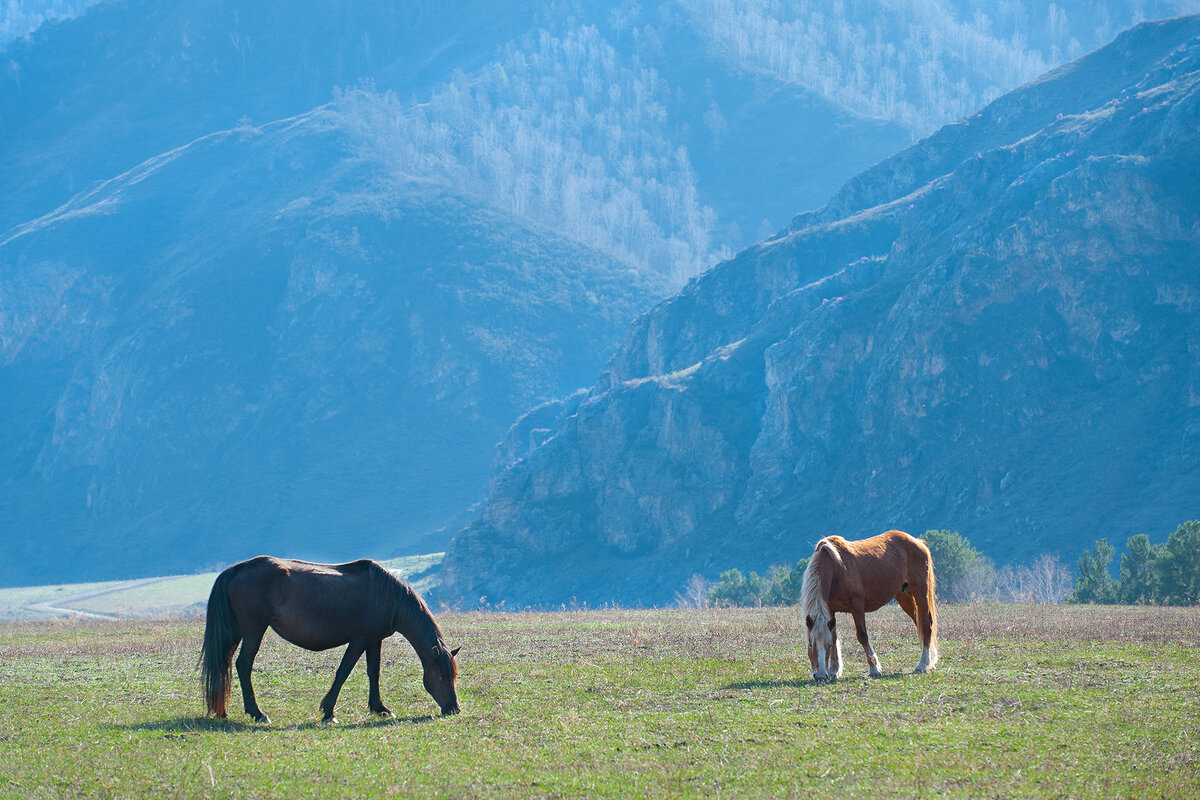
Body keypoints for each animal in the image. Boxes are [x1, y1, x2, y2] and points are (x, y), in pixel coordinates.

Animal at [199, 556, 460, 724]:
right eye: (440, 676)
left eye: (453, 676)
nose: (453, 708)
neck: (386, 596)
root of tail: (236, 569)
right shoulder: (359, 640)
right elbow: (343, 672)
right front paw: (328, 711)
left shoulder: (374, 641)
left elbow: (373, 673)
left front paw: (380, 708)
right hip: (254, 631)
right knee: (243, 665)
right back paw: (257, 713)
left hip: (235, 631)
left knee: (225, 664)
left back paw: (223, 711)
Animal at [801, 532, 940, 681]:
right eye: (810, 644)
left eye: (827, 646)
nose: (821, 675)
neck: (836, 569)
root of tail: (918, 542)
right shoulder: (830, 610)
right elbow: (834, 635)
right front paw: (834, 669)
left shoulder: (857, 606)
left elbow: (862, 635)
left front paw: (874, 668)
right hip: (904, 596)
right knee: (919, 623)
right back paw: (930, 661)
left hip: (920, 592)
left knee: (926, 624)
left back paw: (923, 664)